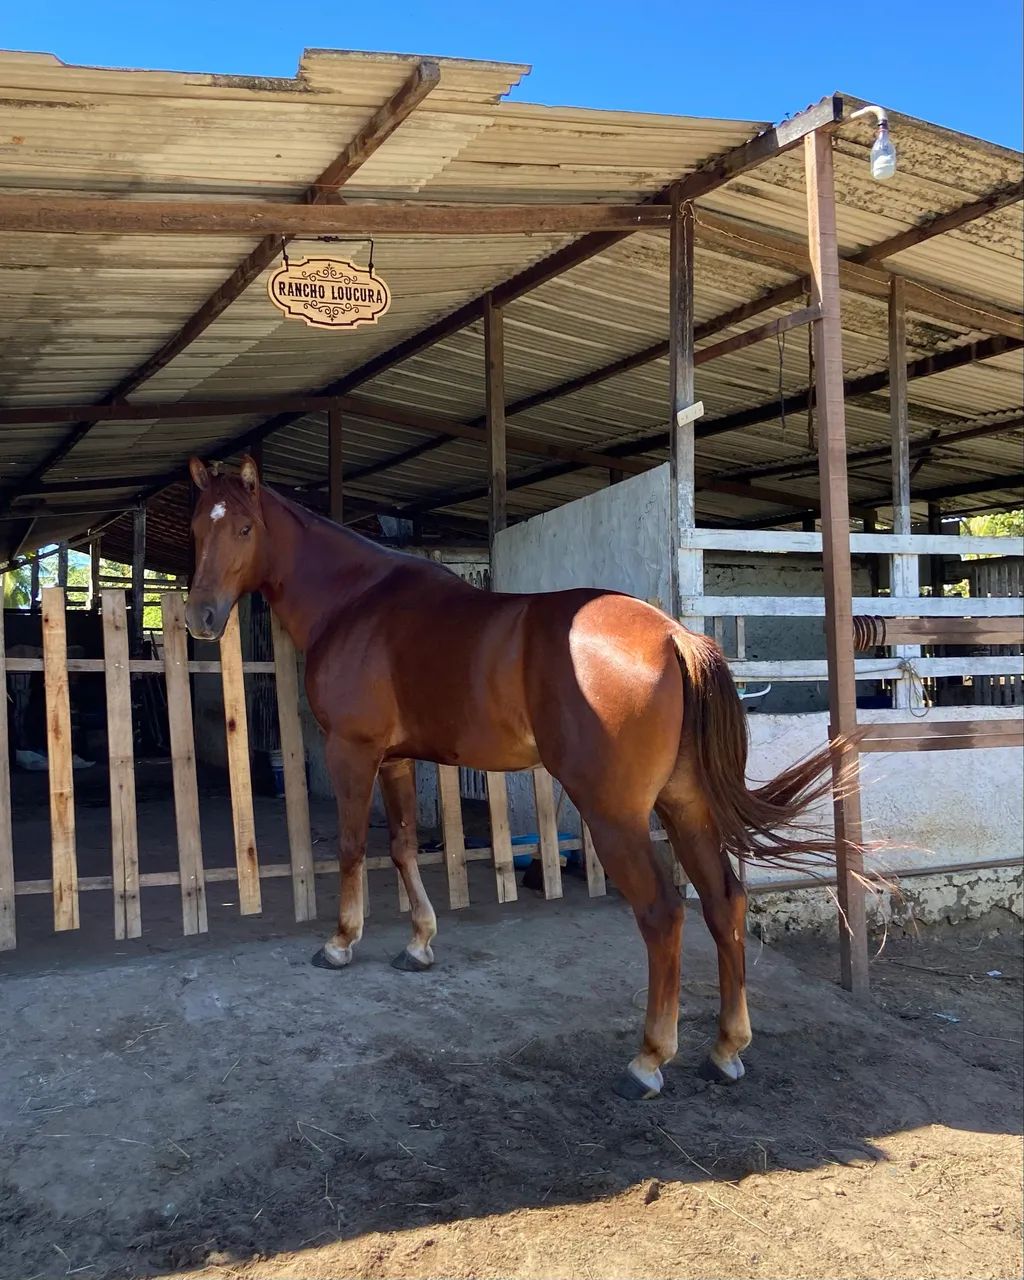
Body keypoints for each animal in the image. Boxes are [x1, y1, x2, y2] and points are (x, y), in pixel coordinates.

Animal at [184, 454, 839, 1100]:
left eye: (244, 528)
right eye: (196, 527)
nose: (200, 617)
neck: (356, 601)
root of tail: (674, 635)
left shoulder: (353, 751)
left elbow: (351, 847)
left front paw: (341, 942)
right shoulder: (396, 759)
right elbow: (401, 846)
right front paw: (419, 942)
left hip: (615, 815)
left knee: (662, 913)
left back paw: (649, 1058)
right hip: (686, 805)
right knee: (723, 901)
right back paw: (726, 1049)